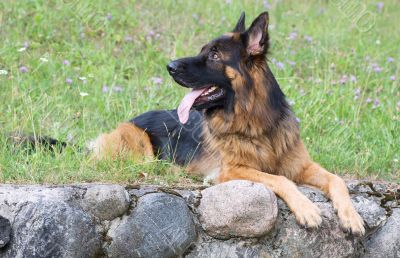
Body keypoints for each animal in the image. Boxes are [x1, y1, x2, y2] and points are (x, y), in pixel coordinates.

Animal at [90, 11, 366, 235]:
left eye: (213, 54)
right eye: (203, 50)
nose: (169, 66)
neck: (257, 125)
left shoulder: (302, 165)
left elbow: (337, 180)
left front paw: (351, 217)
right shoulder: (233, 170)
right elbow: (280, 179)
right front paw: (307, 209)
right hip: (140, 148)